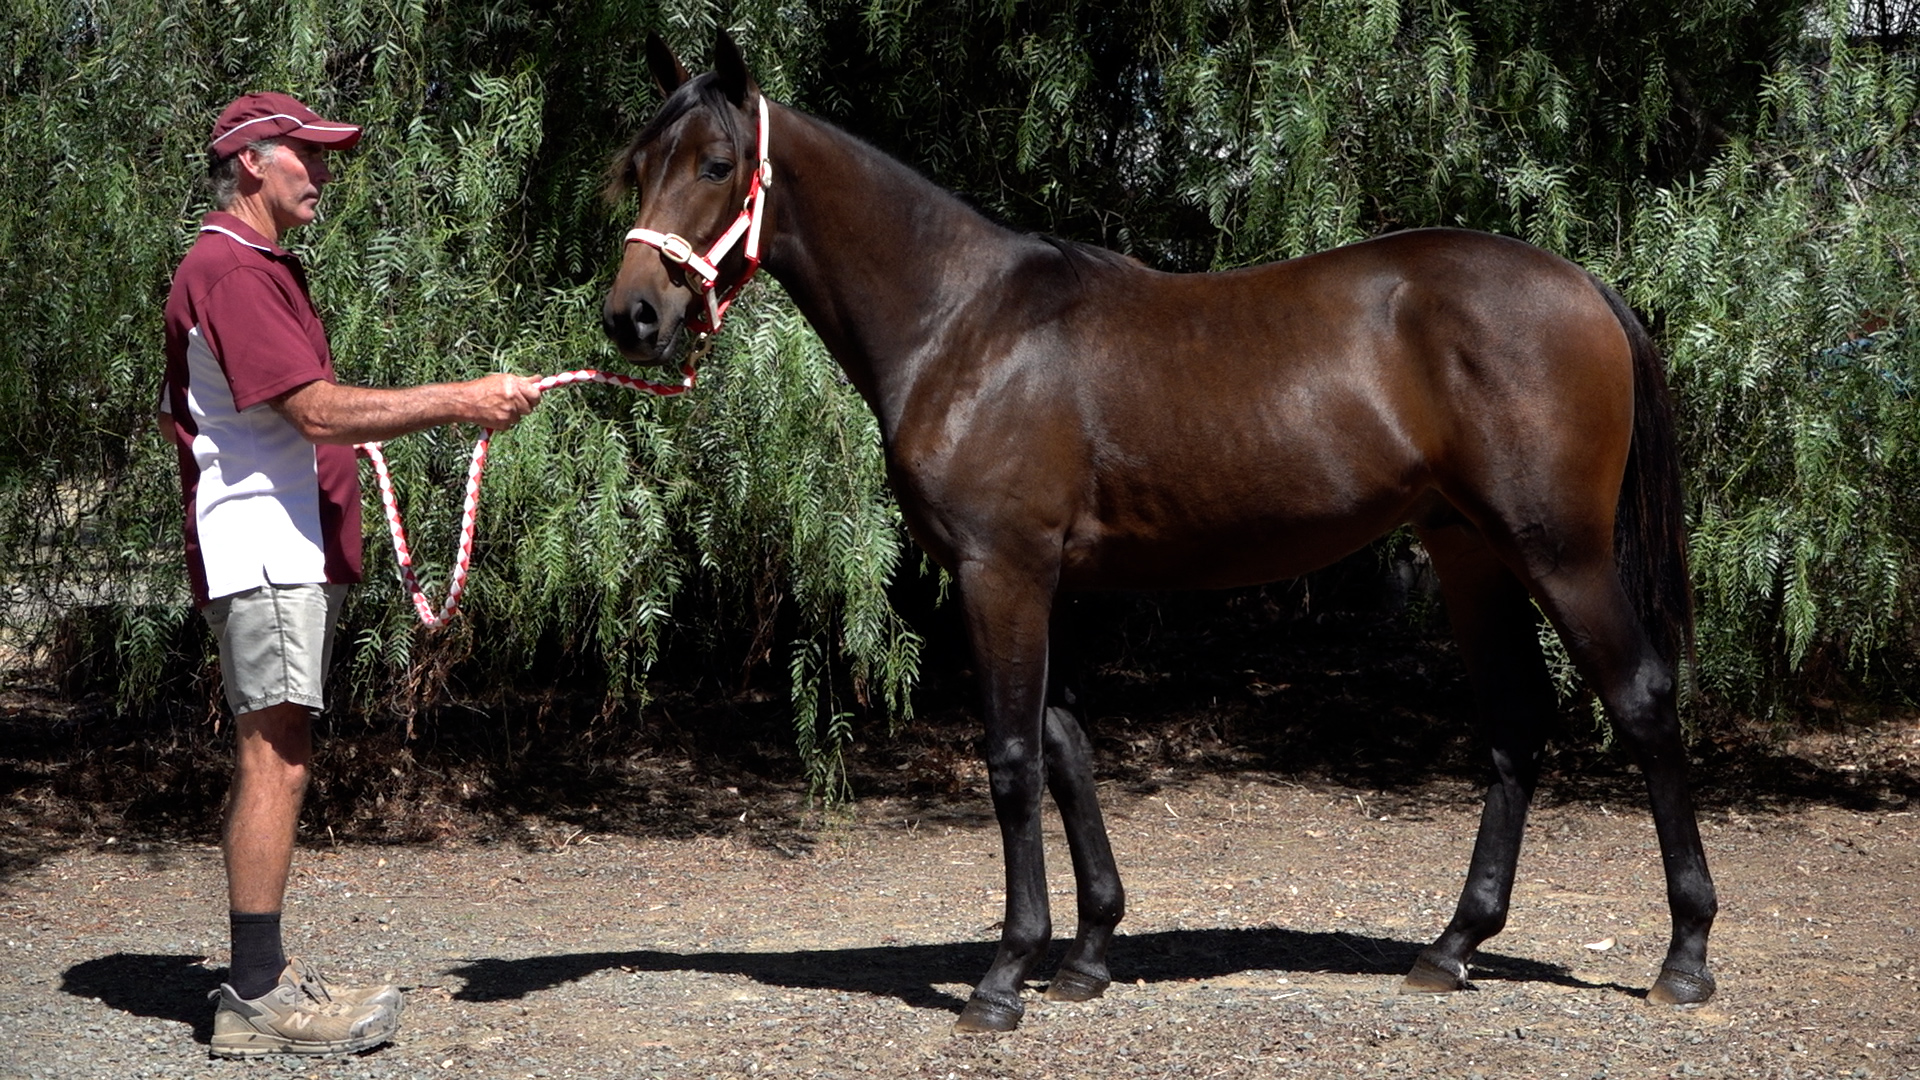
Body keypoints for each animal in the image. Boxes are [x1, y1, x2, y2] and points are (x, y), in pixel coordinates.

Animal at [602, 30, 1717, 1033]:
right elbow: (1069, 751)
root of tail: (1585, 286)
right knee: (1517, 723)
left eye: (715, 165)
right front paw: (1087, 954)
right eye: (637, 167)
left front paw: (1004, 978)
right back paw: (1450, 948)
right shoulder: (1048, 582)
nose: (633, 316)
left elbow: (1013, 758)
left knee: (1642, 700)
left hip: (1559, 553)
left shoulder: (999, 573)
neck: (963, 323)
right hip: (1470, 551)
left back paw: (1685, 958)